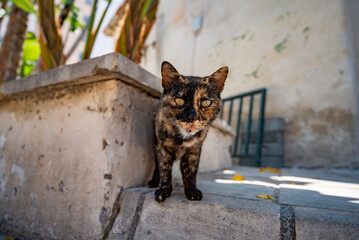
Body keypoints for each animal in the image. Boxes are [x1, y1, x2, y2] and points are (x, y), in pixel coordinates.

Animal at [148, 61, 228, 202]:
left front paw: (191, 191)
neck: (183, 138)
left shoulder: (194, 150)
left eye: (206, 102)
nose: (192, 117)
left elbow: (190, 171)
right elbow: (164, 168)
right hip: (155, 142)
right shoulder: (163, 148)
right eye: (179, 100)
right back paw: (154, 181)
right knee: (157, 164)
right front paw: (163, 190)